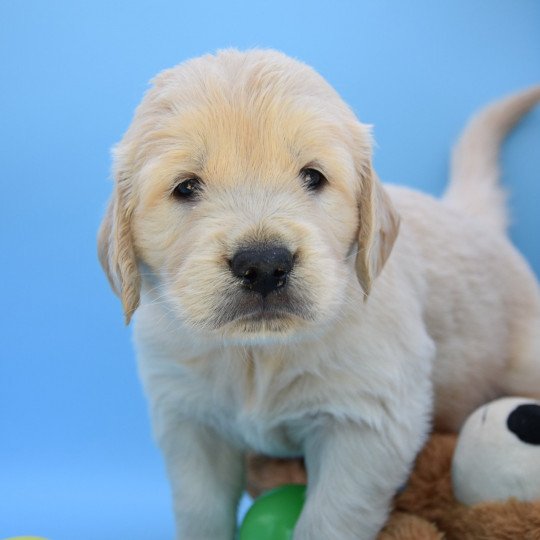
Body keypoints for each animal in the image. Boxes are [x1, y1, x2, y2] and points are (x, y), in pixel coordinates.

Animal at [98, 48, 540, 536]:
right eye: (186, 186)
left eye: (313, 177)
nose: (264, 265)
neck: (258, 354)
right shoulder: (189, 420)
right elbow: (201, 511)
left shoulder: (366, 424)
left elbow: (329, 519)